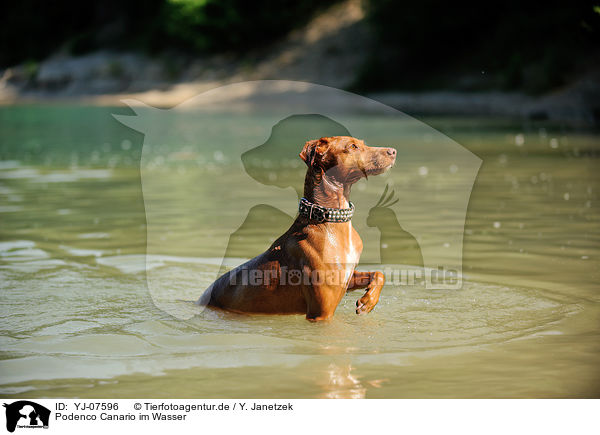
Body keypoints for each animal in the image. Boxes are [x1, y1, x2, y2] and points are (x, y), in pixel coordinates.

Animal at [199, 135, 396, 320]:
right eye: (353, 146)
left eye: (362, 143)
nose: (393, 151)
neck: (331, 220)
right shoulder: (321, 312)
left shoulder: (347, 278)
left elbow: (379, 273)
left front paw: (368, 301)